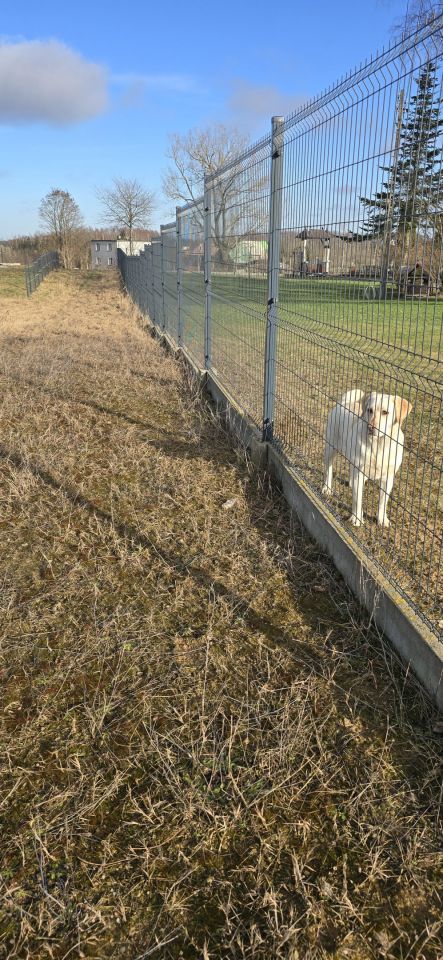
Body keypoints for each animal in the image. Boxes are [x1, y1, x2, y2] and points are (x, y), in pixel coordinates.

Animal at [322, 388, 412, 528]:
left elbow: (383, 501)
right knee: (328, 469)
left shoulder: (388, 478)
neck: (379, 445)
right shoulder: (359, 473)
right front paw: (356, 519)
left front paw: (382, 519)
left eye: (385, 412)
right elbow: (357, 499)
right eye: (370, 410)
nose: (371, 428)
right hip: (330, 449)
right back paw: (327, 488)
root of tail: (344, 402)